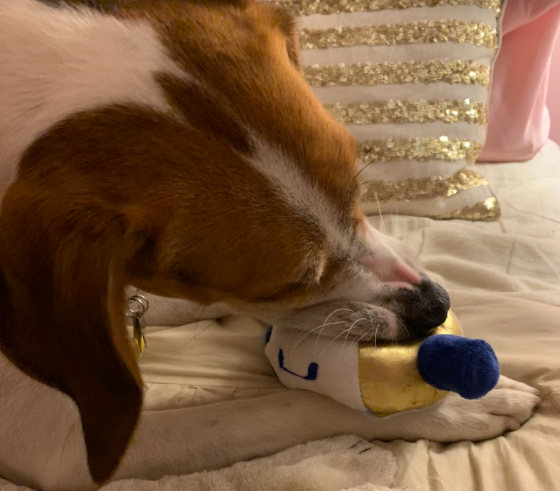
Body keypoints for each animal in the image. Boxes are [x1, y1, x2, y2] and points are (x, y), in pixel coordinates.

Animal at [0, 0, 544, 491]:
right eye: (294, 282)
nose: (436, 305)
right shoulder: (59, 445)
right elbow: (293, 405)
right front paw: (456, 407)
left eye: (358, 191)